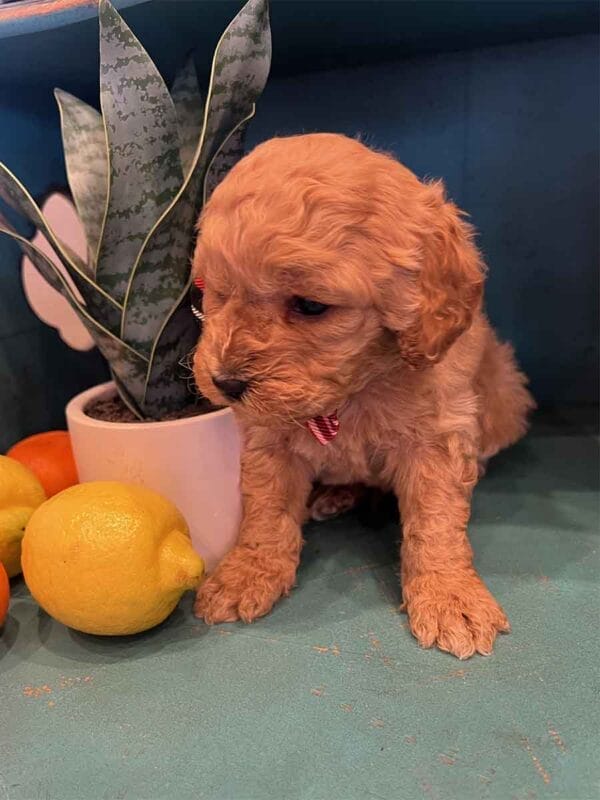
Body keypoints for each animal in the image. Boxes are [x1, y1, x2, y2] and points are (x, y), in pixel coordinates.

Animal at [192, 134, 536, 660]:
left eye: (311, 305)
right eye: (214, 291)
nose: (226, 383)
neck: (353, 390)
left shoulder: (439, 436)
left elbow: (437, 522)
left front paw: (450, 597)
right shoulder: (267, 439)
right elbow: (265, 509)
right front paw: (245, 573)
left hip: (503, 399)